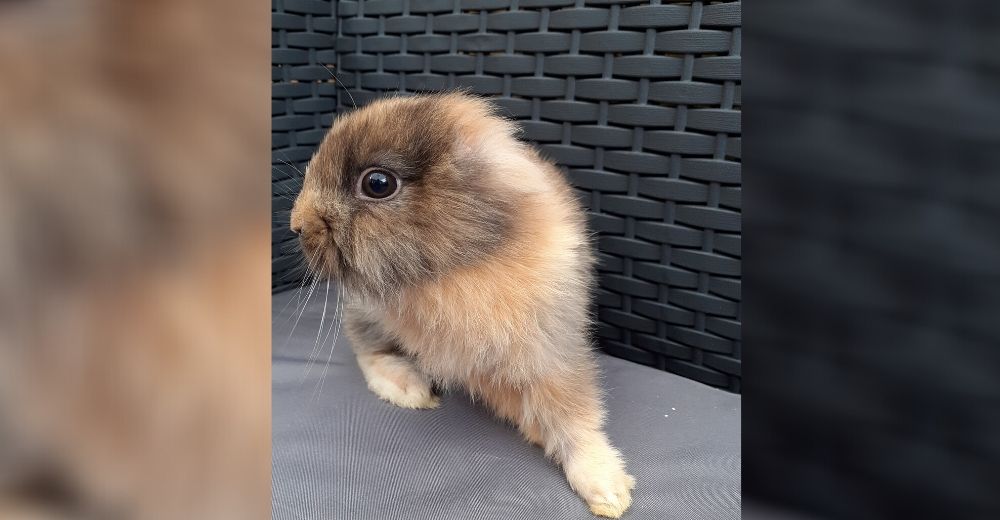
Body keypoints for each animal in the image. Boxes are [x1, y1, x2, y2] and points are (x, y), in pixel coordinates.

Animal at [290, 91, 632, 516]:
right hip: (365, 313)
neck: (455, 268)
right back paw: (409, 388)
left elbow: (574, 417)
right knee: (368, 352)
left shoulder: (551, 354)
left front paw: (608, 491)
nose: (297, 224)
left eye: (378, 183)